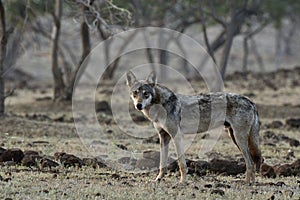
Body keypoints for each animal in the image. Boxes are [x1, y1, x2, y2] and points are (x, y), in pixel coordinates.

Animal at [125, 70, 262, 184]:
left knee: (250, 163)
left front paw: (182, 182)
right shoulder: (164, 137)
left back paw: (246, 183)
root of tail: (251, 101)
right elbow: (162, 164)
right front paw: (158, 179)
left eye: (146, 94)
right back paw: (252, 183)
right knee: (252, 163)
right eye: (135, 93)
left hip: (239, 139)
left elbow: (182, 164)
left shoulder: (177, 136)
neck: (160, 106)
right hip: (234, 137)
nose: (138, 105)